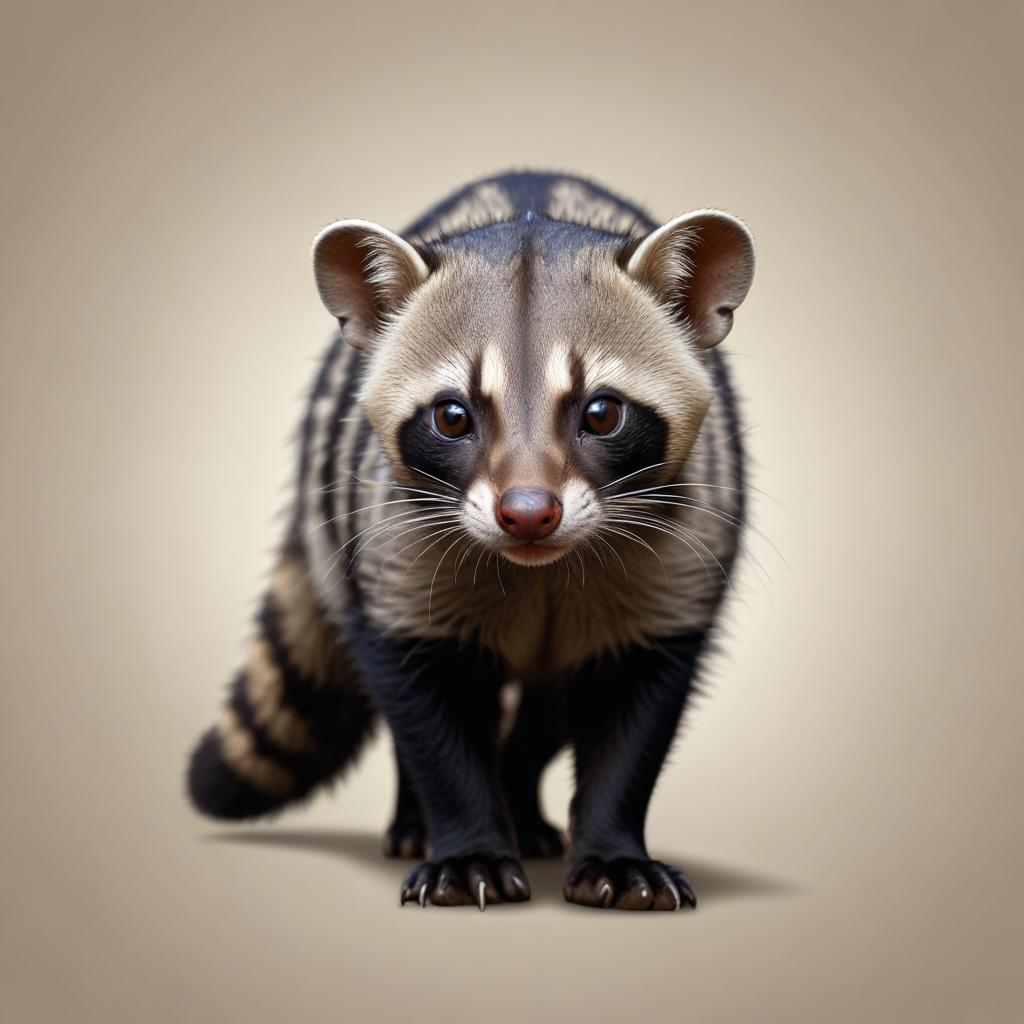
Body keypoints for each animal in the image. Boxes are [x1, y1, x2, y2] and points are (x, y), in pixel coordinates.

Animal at [187, 171, 756, 911]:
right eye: (453, 416)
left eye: (602, 412)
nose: (528, 514)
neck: (542, 565)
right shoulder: (392, 547)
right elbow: (429, 712)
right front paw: (467, 847)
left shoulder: (684, 554)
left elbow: (633, 714)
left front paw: (613, 848)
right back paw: (420, 822)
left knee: (543, 720)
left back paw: (524, 806)